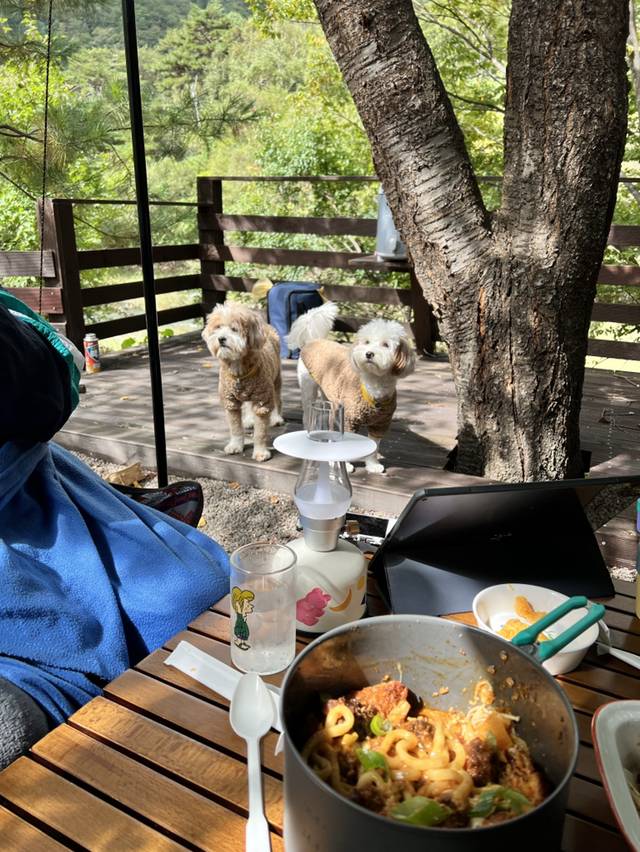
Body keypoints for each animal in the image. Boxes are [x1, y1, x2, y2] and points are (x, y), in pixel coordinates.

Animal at [202, 302, 282, 462]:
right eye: (218, 327)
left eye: (234, 329)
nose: (221, 339)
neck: (239, 370)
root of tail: (265, 325)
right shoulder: (230, 401)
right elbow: (235, 428)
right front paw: (235, 445)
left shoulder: (262, 400)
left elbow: (260, 432)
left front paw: (260, 452)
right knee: (248, 406)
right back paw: (249, 420)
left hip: (275, 379)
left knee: (277, 399)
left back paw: (276, 417)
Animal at [286, 302, 416, 476]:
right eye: (367, 342)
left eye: (386, 345)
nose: (369, 354)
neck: (373, 385)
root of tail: (313, 341)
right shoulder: (350, 419)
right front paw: (344, 465)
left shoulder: (381, 423)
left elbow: (374, 446)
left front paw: (372, 465)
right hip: (309, 389)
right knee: (307, 416)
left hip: (330, 395)